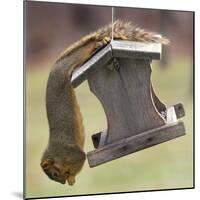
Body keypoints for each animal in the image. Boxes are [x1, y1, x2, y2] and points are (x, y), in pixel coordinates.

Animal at [40, 20, 169, 186]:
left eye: (54, 174)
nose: (62, 183)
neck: (57, 155)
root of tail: (55, 68)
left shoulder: (72, 153)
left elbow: (81, 158)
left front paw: (71, 178)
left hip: (74, 63)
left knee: (86, 50)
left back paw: (99, 43)